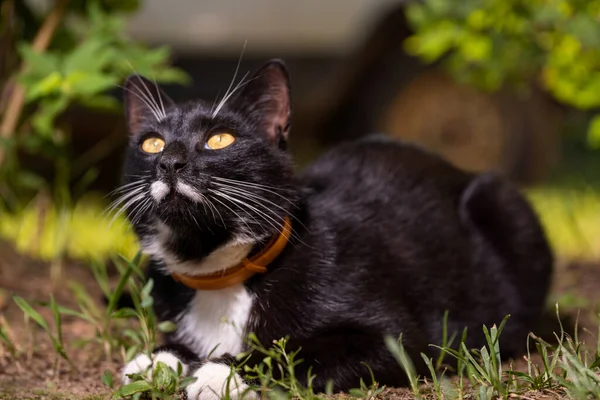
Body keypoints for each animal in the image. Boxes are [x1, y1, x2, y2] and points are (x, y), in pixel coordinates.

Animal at [117, 60, 552, 400]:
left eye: (220, 139)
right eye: (152, 144)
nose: (169, 162)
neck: (222, 273)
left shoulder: (392, 338)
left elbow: (298, 351)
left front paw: (221, 372)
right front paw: (159, 357)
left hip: (503, 204)